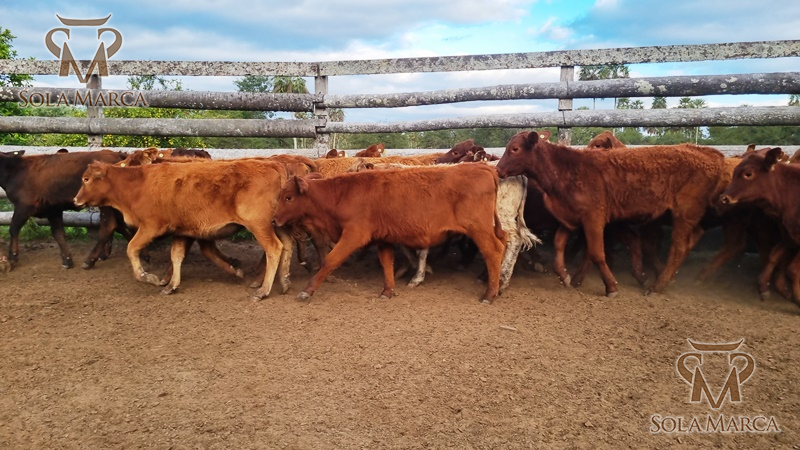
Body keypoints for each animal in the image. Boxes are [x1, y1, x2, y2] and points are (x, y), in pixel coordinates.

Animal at [0, 149, 130, 270]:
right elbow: (58, 233)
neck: (15, 171)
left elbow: (13, 228)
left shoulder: (25, 206)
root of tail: (118, 154)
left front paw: (12, 257)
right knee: (118, 224)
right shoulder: (53, 209)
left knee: (109, 226)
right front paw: (67, 260)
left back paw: (90, 260)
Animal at [74, 159, 292, 298]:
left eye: (86, 179)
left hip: (259, 225)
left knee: (274, 248)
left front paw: (149, 277)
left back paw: (263, 291)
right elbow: (176, 256)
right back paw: (284, 282)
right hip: (277, 223)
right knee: (287, 246)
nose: (75, 200)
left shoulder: (150, 227)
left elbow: (132, 249)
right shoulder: (182, 232)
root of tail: (272, 164)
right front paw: (171, 285)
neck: (138, 184)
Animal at [273, 164, 507, 303]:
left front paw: (307, 290)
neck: (342, 194)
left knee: (494, 251)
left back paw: (489, 293)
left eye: (288, 197)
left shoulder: (353, 235)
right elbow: (387, 263)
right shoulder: (382, 238)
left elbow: (330, 260)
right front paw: (388, 290)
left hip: (480, 230)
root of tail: (481, 166)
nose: (274, 220)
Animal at [496, 130, 726, 297]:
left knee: (678, 248)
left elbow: (597, 253)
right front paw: (565, 275)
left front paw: (611, 286)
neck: (566, 170)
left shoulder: (594, 218)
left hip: (684, 214)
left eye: (515, 149)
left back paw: (657, 285)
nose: (498, 170)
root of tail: (710, 155)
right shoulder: (571, 216)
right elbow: (560, 245)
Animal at [720, 147, 800, 305]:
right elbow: (774, 256)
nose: (724, 198)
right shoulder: (789, 235)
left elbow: (793, 269)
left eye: (748, 173)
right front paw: (764, 287)